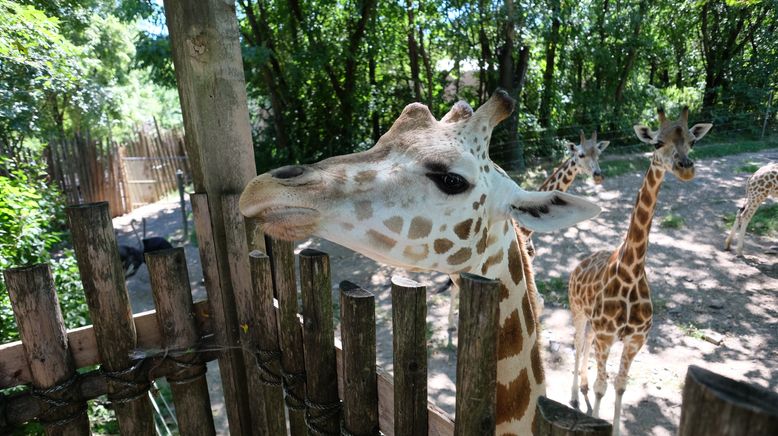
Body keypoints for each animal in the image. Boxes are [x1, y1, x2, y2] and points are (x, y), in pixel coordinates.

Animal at [564, 106, 708, 436]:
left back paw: (582, 388)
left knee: (586, 346)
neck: (630, 273)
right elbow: (604, 387)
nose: (685, 168)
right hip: (577, 311)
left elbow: (619, 386)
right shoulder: (607, 336)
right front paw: (593, 415)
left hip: (593, 323)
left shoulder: (634, 341)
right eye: (657, 142)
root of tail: (579, 264)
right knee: (577, 345)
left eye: (693, 141)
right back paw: (575, 397)